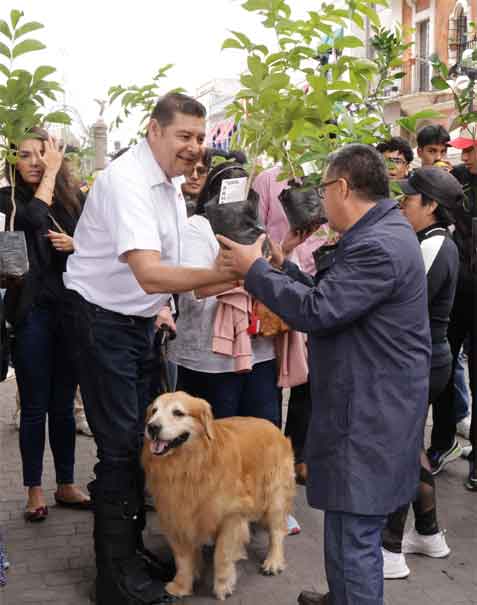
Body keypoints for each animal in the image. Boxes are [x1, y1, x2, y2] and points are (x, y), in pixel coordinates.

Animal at [142, 392, 294, 600]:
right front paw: (181, 586)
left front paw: (222, 586)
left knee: (277, 531)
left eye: (178, 412)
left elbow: (222, 555)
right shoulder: (176, 515)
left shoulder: (231, 516)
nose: (152, 427)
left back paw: (273, 561)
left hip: (275, 495)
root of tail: (273, 427)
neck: (190, 466)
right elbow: (182, 559)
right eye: (154, 411)